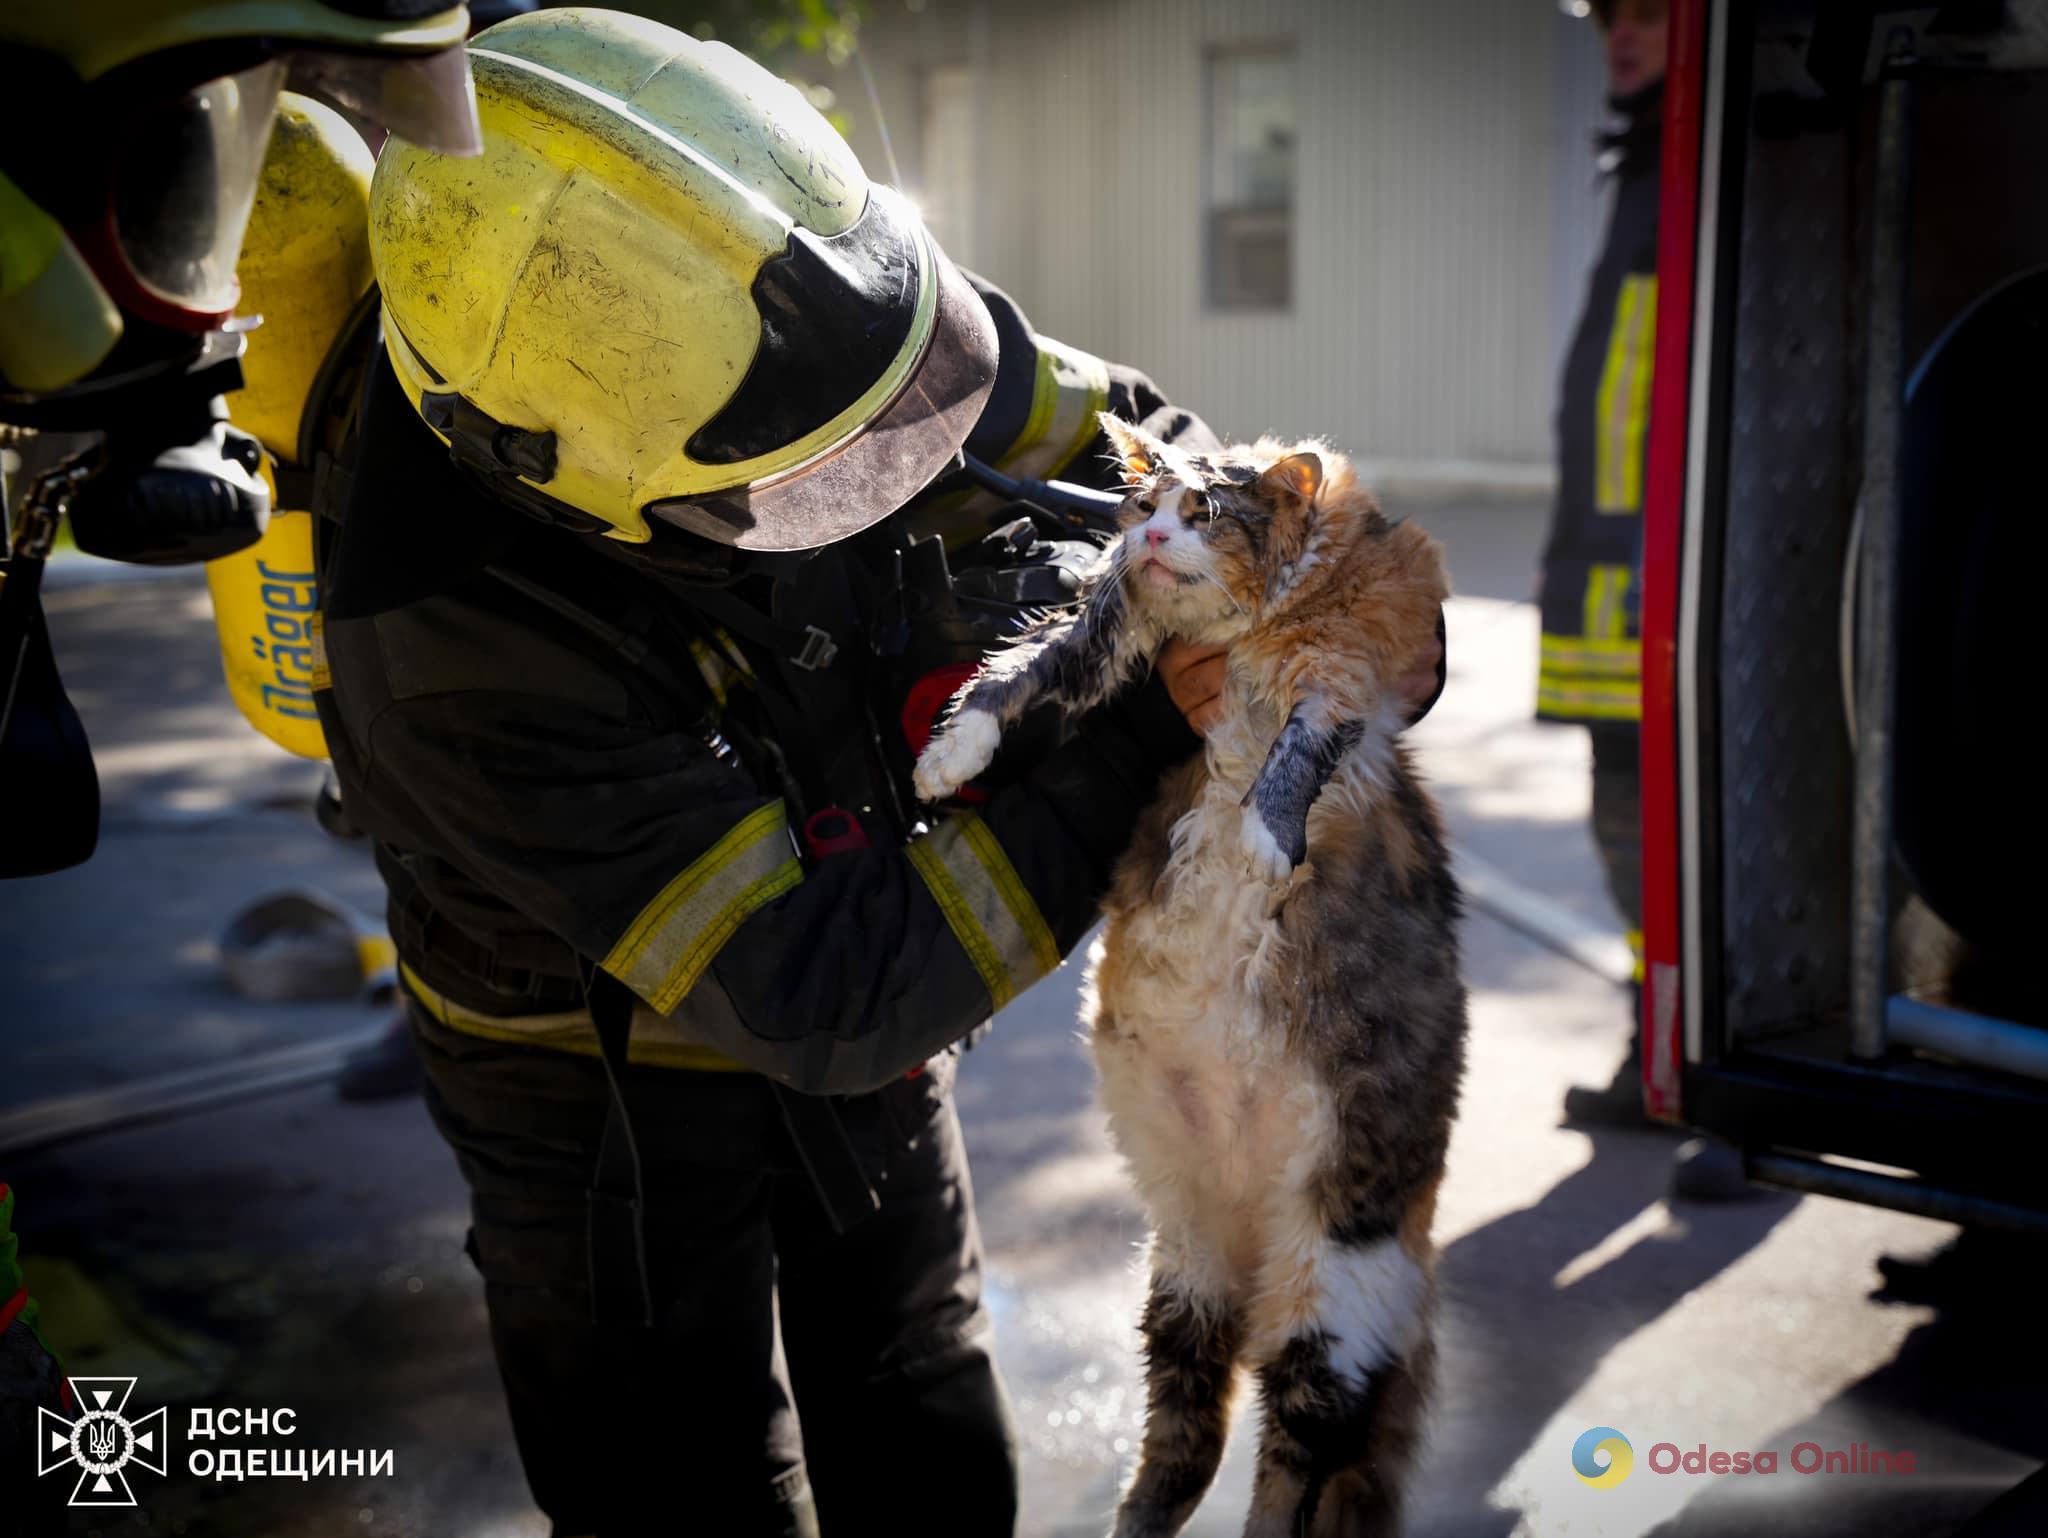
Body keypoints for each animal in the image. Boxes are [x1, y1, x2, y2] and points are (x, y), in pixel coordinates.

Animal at [917, 415, 1474, 1531]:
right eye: (1142, 505)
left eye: (1205, 510)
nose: (1150, 538)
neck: (1239, 631)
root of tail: (1256, 1240)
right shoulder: (1108, 638)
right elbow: (1017, 673)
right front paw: (947, 755)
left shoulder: (1343, 669)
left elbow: (1294, 752)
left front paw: (1263, 844)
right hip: (1184, 1285)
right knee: (1186, 1443)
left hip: (1328, 1310)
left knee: (1288, 1475)